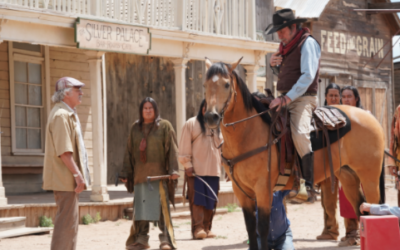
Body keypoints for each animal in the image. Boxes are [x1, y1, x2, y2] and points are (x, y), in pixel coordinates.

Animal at [203, 58, 384, 250]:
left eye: (226, 84)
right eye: (205, 85)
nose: (211, 117)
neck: (248, 132)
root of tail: (370, 117)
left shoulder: (263, 189)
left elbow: (263, 228)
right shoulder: (241, 192)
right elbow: (251, 229)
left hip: (369, 178)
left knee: (373, 209)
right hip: (348, 176)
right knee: (361, 208)